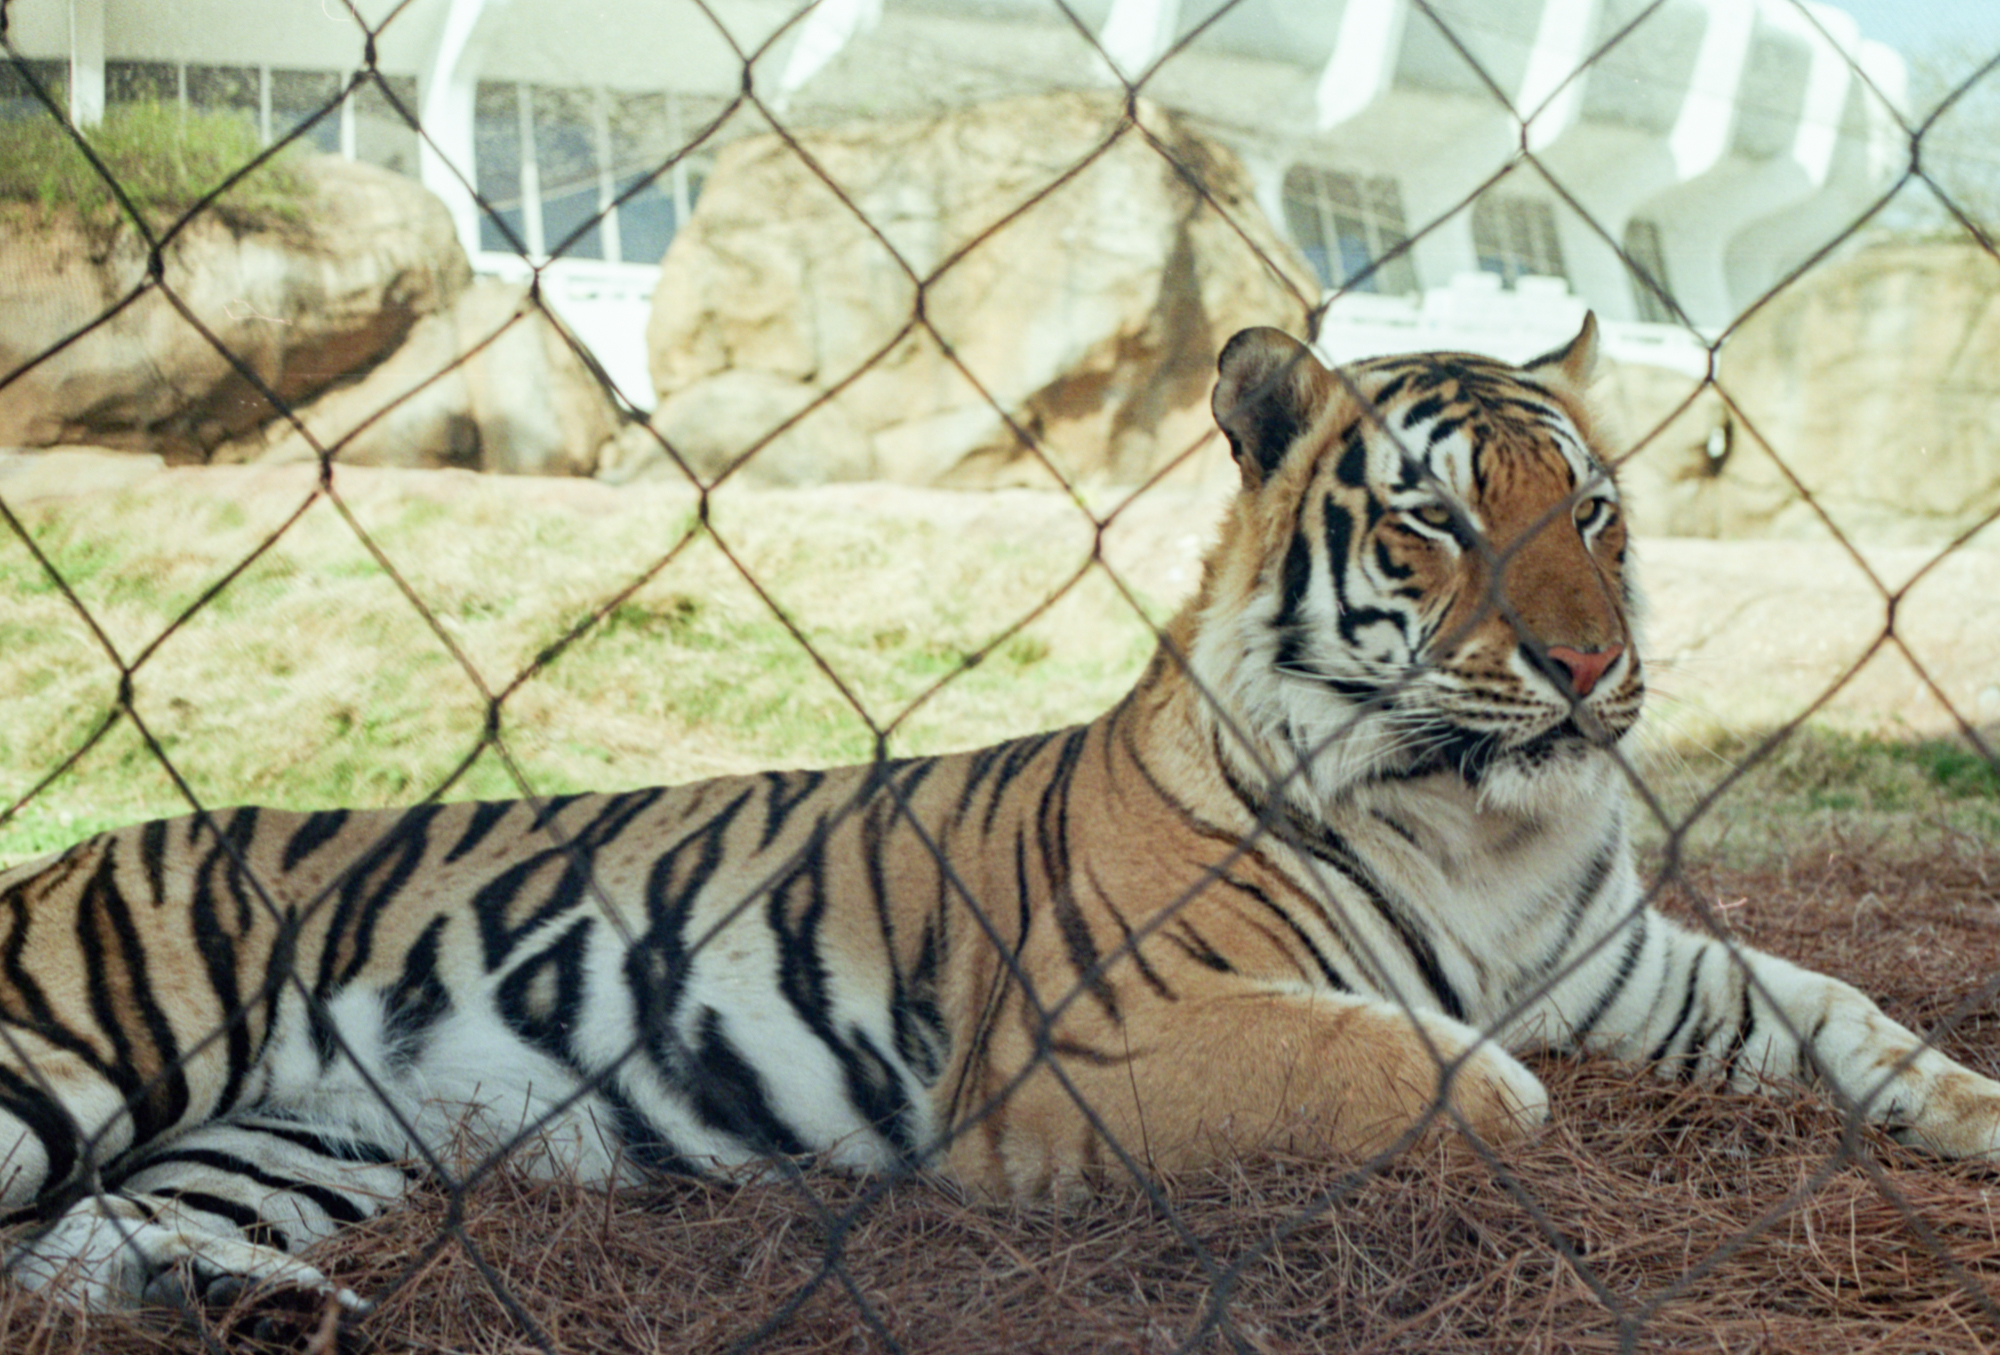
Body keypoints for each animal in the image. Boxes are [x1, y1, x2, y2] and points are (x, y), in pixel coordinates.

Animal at [3, 317, 2000, 1319]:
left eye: (1588, 510)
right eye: (1434, 521)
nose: (1592, 667)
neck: (1484, 827)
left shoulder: (1630, 967)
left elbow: (1854, 1019)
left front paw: (1973, 1110)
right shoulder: (1105, 1043)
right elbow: (1460, 1078)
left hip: (299, 1142)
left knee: (70, 1257)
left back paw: (237, 1309)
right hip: (86, 1055)